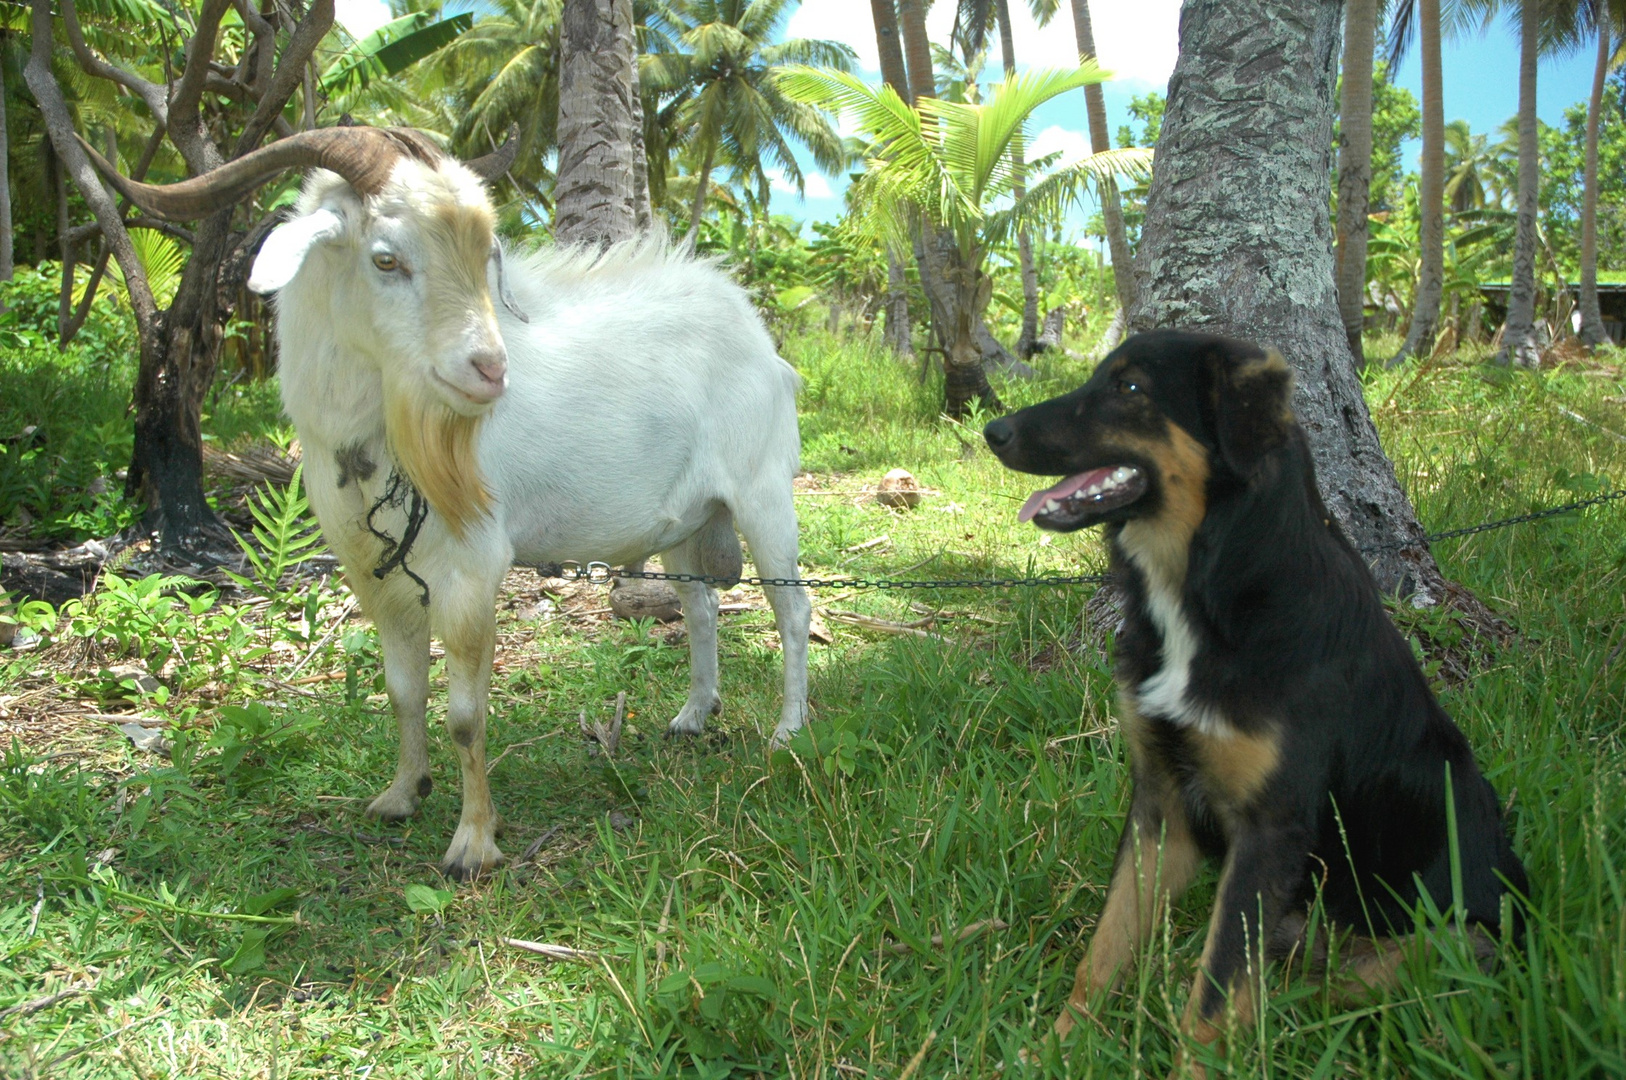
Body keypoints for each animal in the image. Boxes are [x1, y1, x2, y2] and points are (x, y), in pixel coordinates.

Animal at [92, 130, 809, 884]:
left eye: (478, 259)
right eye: (385, 257)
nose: (491, 371)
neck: (376, 436)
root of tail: (753, 331)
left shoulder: (470, 568)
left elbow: (465, 714)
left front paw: (473, 844)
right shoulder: (372, 574)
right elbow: (403, 692)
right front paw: (402, 794)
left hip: (762, 494)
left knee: (792, 609)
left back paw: (788, 730)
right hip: (687, 522)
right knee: (700, 607)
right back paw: (693, 715)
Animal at [982, 328, 1528, 1073]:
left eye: (1130, 389)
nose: (993, 431)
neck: (1207, 589)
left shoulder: (1268, 830)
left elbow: (1208, 1001)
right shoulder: (1161, 803)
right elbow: (1104, 951)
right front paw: (1056, 1050)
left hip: (1447, 941)